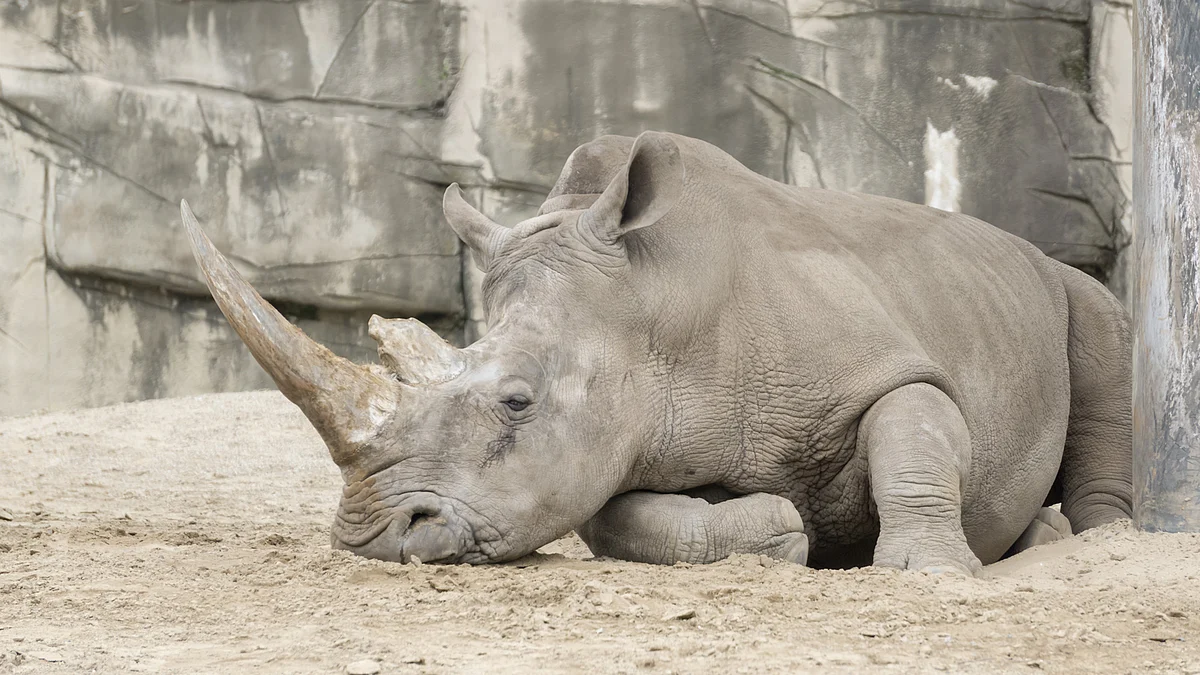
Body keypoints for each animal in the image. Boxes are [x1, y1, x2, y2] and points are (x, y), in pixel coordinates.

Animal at [180, 130, 1132, 571]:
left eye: (516, 399)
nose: (374, 538)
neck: (651, 307)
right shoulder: (620, 434)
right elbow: (622, 517)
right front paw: (779, 533)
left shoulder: (886, 362)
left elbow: (915, 432)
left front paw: (926, 569)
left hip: (1062, 288)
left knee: (1103, 330)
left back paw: (1093, 537)